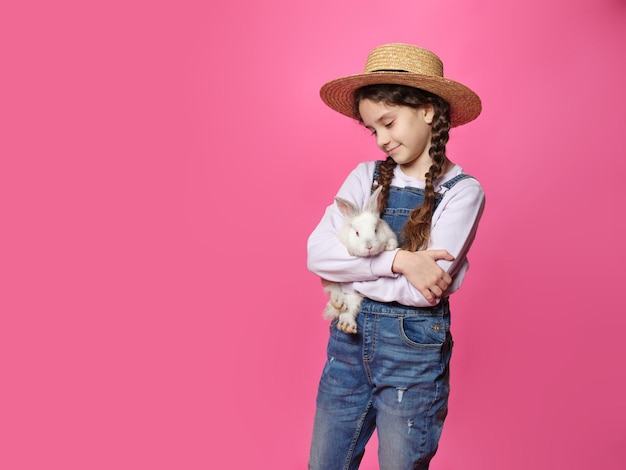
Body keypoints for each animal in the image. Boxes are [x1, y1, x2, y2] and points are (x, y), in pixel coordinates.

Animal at [322, 185, 394, 334]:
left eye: (376, 230)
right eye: (356, 233)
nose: (369, 247)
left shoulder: (390, 234)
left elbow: (391, 241)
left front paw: (389, 247)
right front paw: (351, 252)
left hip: (354, 296)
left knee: (349, 310)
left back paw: (347, 324)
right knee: (335, 291)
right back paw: (338, 302)